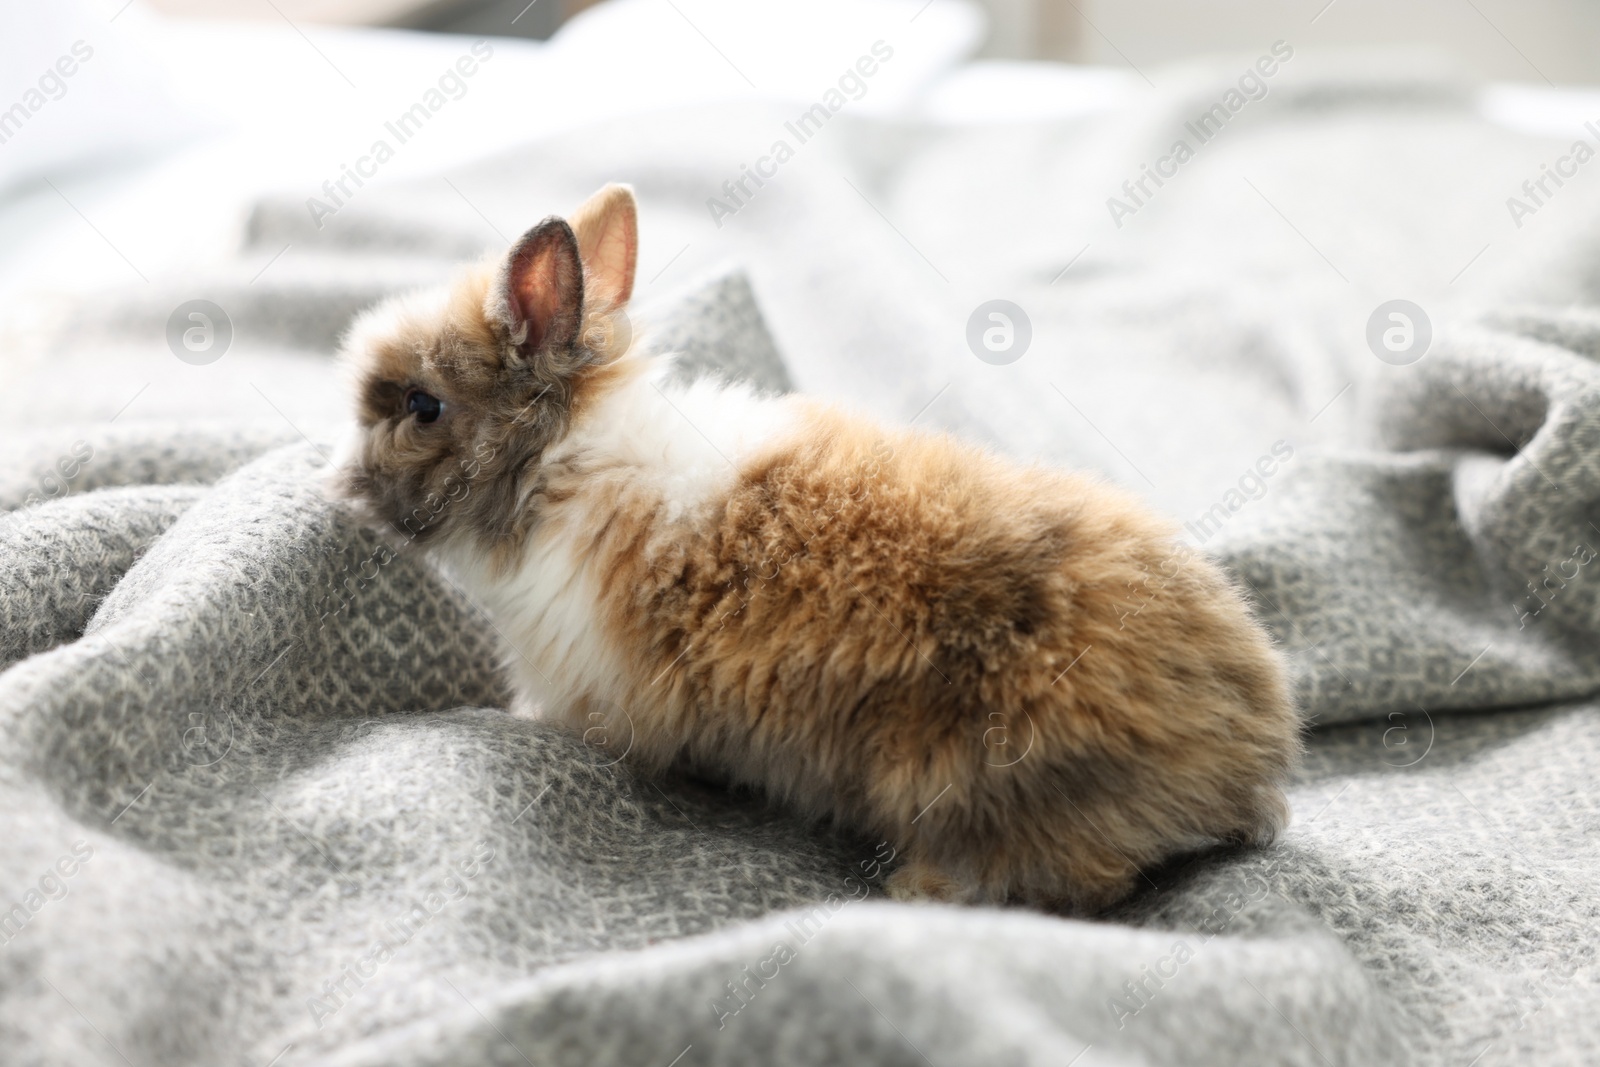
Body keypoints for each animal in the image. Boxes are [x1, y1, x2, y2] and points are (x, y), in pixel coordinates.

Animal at [337, 185, 1299, 921]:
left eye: (421, 406)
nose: (342, 482)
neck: (558, 469)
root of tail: (1243, 755)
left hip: (973, 783)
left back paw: (915, 888)